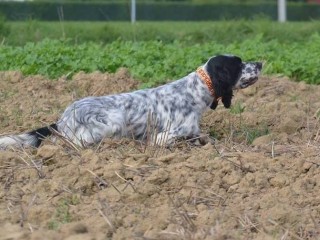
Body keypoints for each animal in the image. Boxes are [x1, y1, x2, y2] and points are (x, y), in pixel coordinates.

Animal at [0, 54, 262, 149]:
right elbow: (169, 139)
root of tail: (62, 119)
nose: (260, 63)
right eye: (239, 64)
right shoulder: (166, 134)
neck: (193, 92)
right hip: (112, 121)